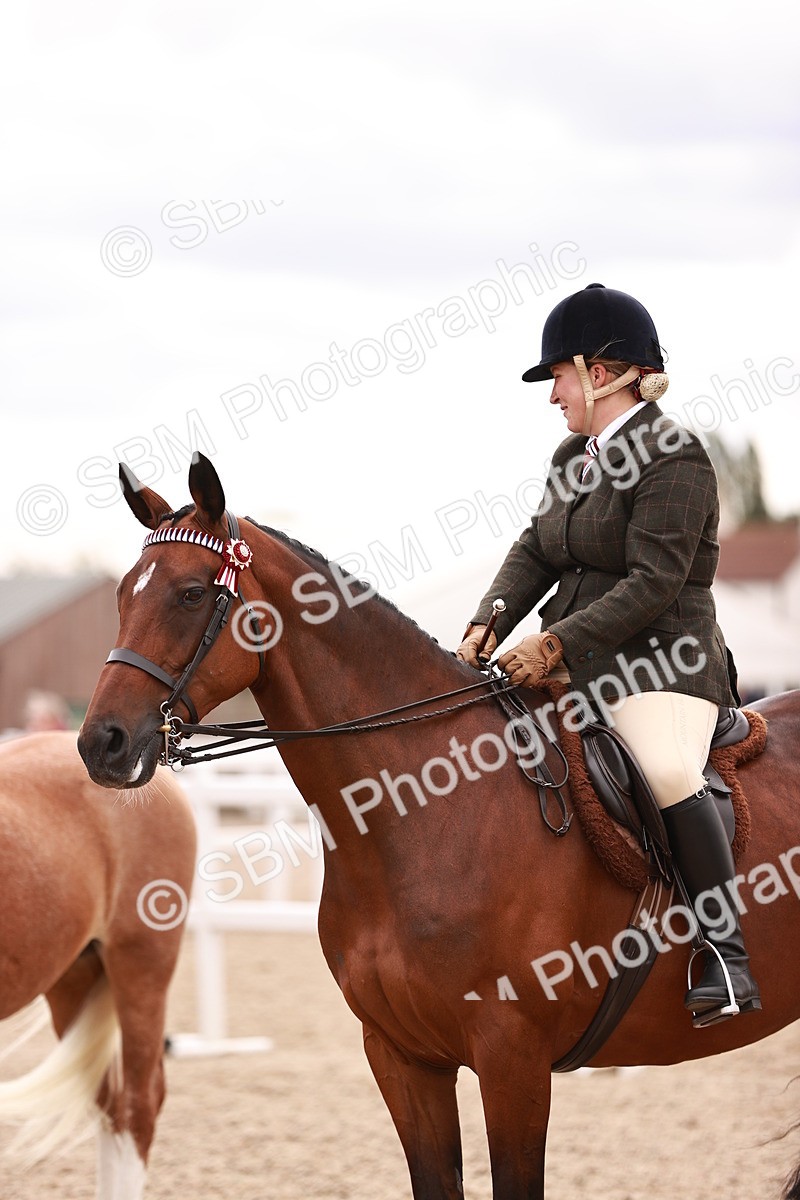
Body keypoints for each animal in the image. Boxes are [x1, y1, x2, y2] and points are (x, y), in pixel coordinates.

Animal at [77, 452, 800, 1200]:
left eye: (192, 594)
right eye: (123, 596)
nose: (101, 743)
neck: (418, 819)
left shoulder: (513, 1059)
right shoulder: (401, 1057)